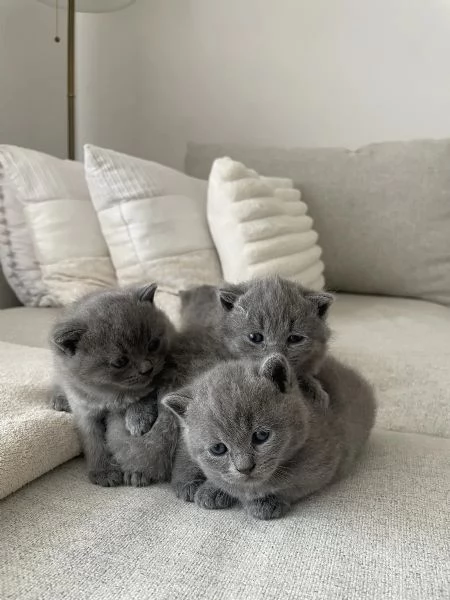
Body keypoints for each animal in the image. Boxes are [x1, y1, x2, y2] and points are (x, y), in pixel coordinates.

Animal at [50, 284, 174, 486]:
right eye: (120, 362)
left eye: (153, 344)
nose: (147, 368)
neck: (111, 394)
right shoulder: (84, 411)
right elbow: (93, 441)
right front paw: (103, 472)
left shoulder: (154, 380)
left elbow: (144, 395)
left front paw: (137, 419)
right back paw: (59, 399)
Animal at [165, 354, 376, 516]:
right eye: (218, 448)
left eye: (261, 436)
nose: (245, 468)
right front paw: (212, 488)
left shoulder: (325, 464)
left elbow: (293, 485)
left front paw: (266, 502)